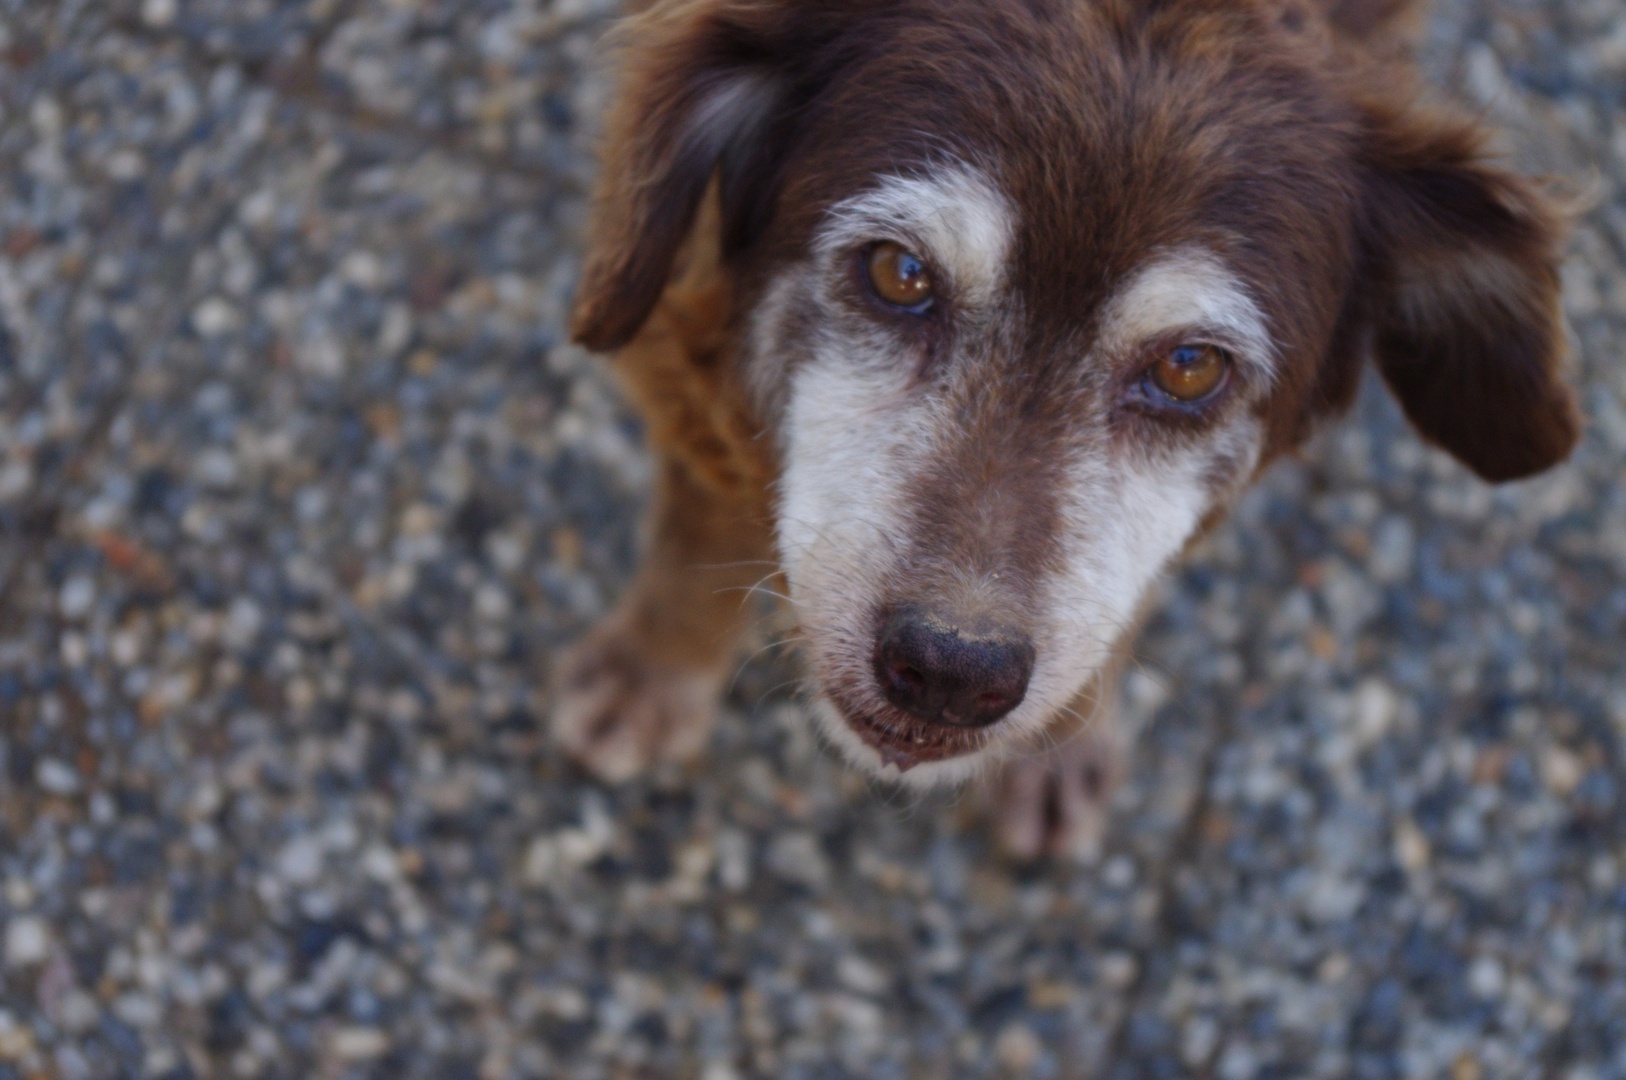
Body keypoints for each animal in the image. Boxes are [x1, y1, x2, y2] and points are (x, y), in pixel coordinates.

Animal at [552, 0, 1580, 858]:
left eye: (1189, 366)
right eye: (899, 273)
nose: (951, 672)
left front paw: (1059, 746)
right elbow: (701, 515)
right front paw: (652, 672)